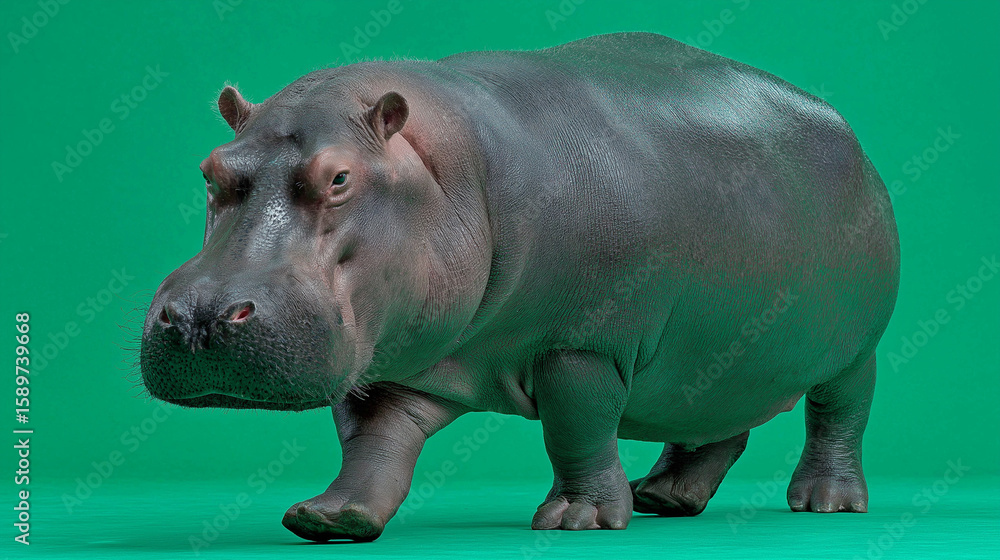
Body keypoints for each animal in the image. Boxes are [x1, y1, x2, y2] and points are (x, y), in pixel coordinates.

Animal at [140, 32, 900, 541]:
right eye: (211, 170)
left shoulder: (581, 346)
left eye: (339, 177)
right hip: (715, 351)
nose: (202, 315)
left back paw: (826, 501)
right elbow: (373, 443)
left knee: (840, 415)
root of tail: (845, 128)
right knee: (712, 424)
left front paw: (577, 519)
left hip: (854, 351)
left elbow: (576, 426)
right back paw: (666, 498)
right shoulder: (393, 356)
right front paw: (330, 518)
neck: (449, 172)